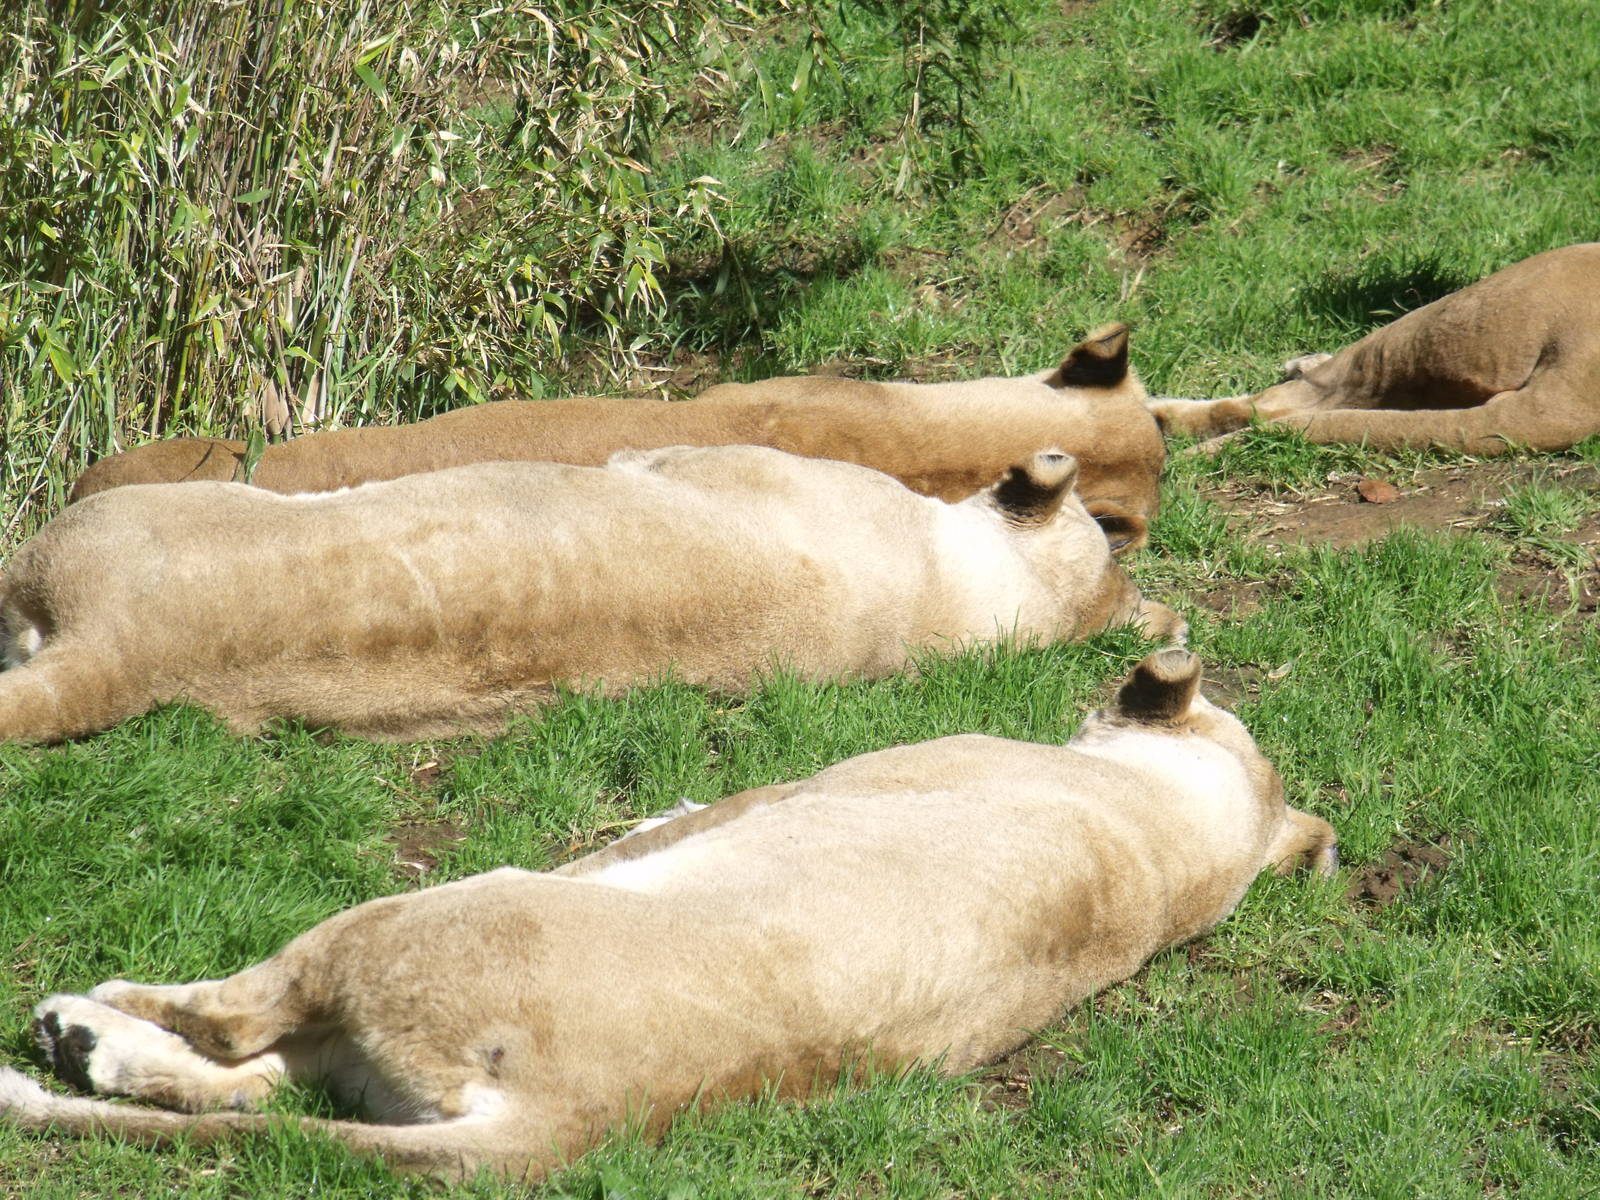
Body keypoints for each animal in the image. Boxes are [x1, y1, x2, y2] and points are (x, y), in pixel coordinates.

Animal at [2, 649, 1337, 1181]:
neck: (1174, 843)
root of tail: (566, 1127)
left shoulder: (796, 788)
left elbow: (663, 827)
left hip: (416, 918)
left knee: (235, 1031)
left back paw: (81, 1014)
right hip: (376, 1064)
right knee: (244, 1092)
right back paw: (86, 1044)